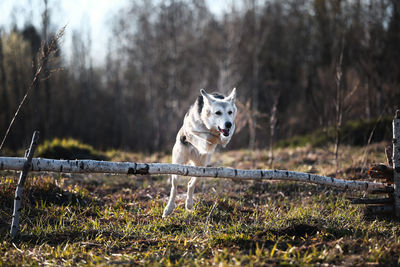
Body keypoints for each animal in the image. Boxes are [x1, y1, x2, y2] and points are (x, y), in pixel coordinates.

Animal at [163, 88, 238, 218]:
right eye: (218, 112)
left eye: (230, 112)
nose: (228, 124)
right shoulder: (190, 131)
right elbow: (199, 136)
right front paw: (207, 140)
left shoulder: (228, 130)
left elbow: (224, 137)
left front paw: (220, 138)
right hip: (178, 165)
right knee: (174, 187)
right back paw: (169, 208)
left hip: (201, 168)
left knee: (191, 184)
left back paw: (189, 204)